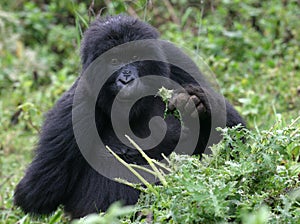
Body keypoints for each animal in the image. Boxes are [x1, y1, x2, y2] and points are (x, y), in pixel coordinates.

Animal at [13, 14, 246, 218]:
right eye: (114, 60)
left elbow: (236, 140)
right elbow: (36, 192)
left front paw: (198, 104)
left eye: (134, 57)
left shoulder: (177, 60)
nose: (126, 80)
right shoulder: (74, 108)